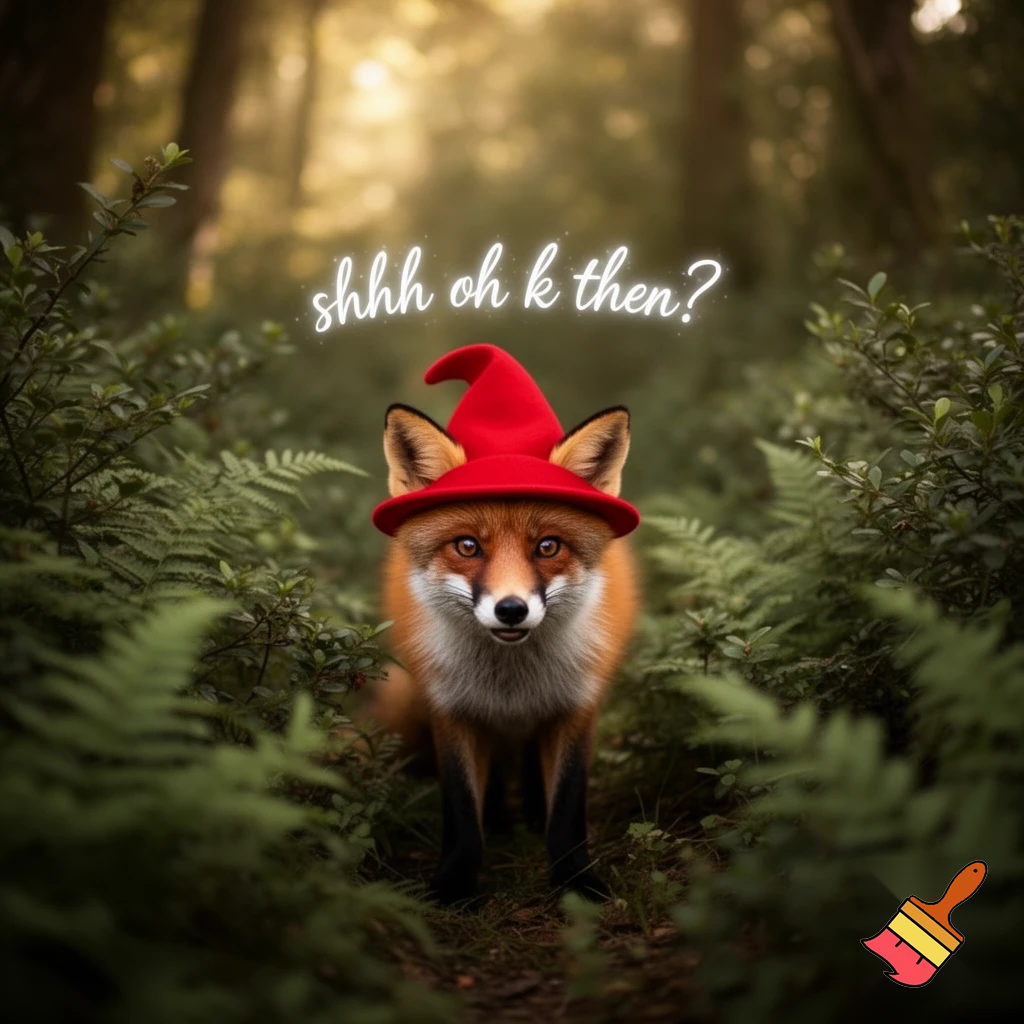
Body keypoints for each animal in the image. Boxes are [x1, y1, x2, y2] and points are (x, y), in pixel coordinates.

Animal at [367, 401, 639, 904]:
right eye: (467, 546)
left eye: (547, 546)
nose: (511, 610)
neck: (511, 682)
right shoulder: (451, 708)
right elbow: (461, 812)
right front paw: (453, 886)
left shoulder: (576, 705)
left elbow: (567, 811)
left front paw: (577, 882)